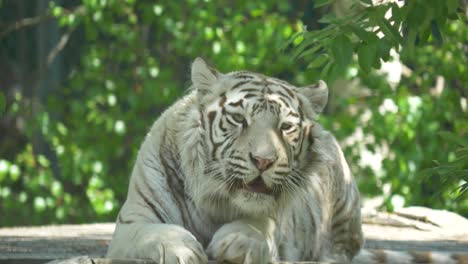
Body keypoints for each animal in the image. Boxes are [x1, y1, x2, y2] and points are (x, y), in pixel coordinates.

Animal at [105, 58, 464, 264]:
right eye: (239, 119)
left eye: (285, 127)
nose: (263, 160)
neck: (215, 202)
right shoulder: (132, 223)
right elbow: (157, 233)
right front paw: (182, 251)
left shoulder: (272, 222)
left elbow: (254, 227)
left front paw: (236, 242)